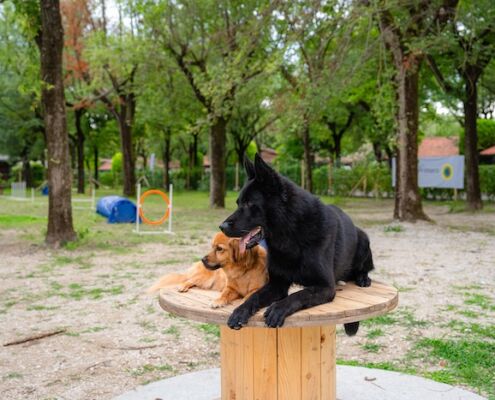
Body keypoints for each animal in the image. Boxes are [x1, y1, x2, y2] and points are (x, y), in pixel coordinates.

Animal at [219, 153, 374, 334]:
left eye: (249, 204)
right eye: (238, 203)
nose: (222, 226)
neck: (290, 234)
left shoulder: (325, 287)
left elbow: (298, 295)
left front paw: (278, 308)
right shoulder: (277, 284)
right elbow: (254, 296)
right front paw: (240, 310)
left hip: (364, 239)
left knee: (365, 268)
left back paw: (363, 278)